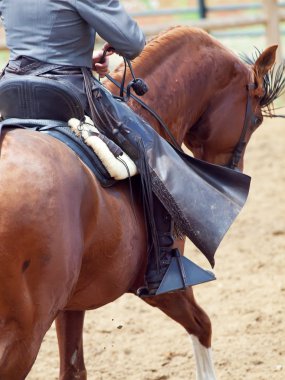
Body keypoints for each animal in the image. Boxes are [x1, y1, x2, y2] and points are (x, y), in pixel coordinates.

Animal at [0, 26, 280, 380]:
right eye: (255, 120)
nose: (234, 170)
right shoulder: (167, 286)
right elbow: (202, 325)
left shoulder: (69, 303)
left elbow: (74, 369)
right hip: (22, 336)